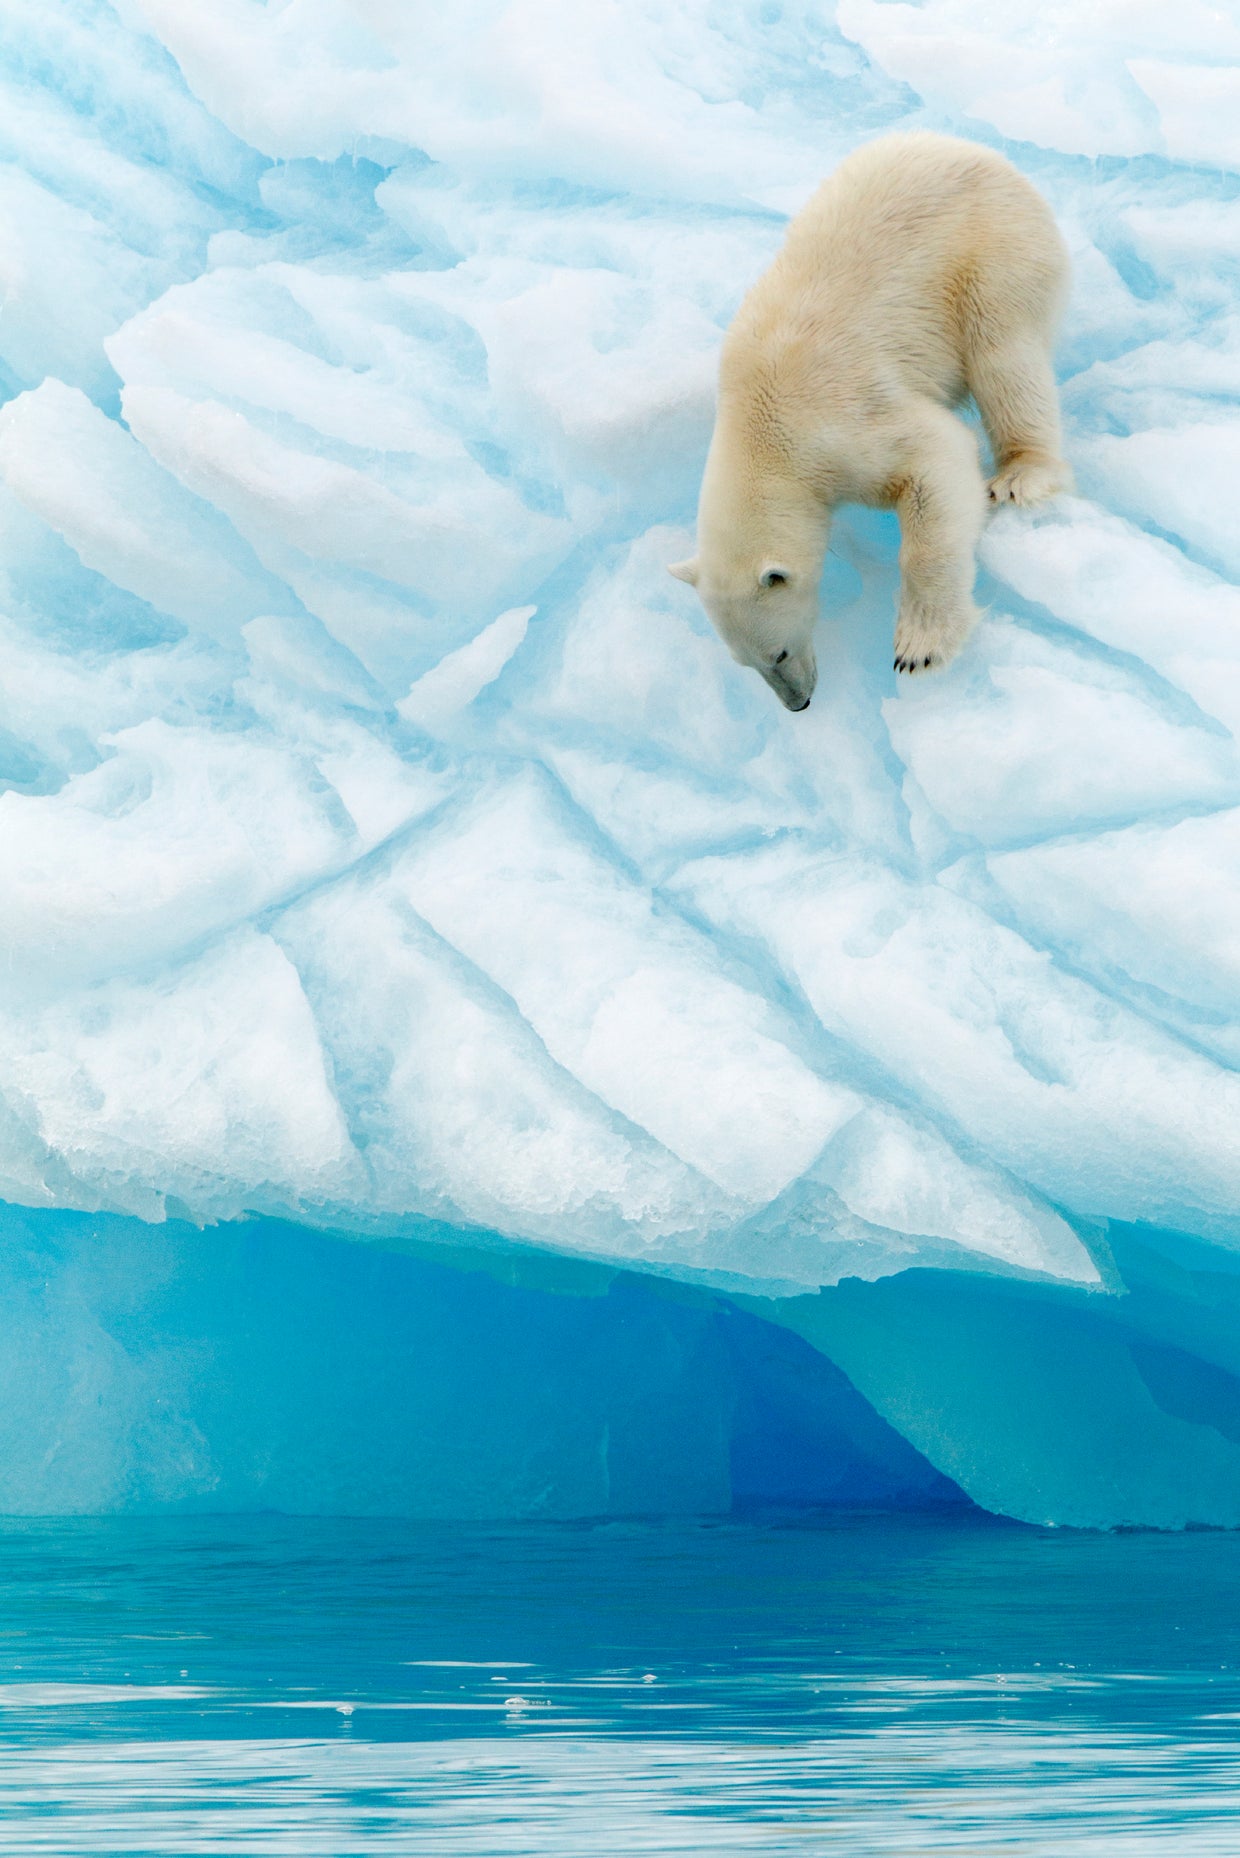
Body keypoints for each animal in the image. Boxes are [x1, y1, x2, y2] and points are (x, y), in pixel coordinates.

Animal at [668, 132, 1071, 711]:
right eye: (746, 664)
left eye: (777, 653)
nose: (798, 703)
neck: (758, 427)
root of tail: (984, 155)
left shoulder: (841, 422)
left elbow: (937, 460)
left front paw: (920, 647)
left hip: (996, 250)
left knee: (1004, 353)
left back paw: (1021, 473)